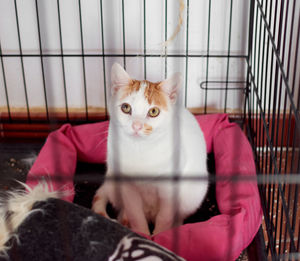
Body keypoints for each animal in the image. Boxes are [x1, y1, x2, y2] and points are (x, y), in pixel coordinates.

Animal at [92, 63, 209, 236]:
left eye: (154, 112)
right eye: (126, 107)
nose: (136, 126)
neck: (141, 150)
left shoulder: (170, 188)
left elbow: (164, 217)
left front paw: (161, 235)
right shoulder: (127, 187)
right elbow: (135, 214)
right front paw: (142, 234)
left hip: (193, 194)